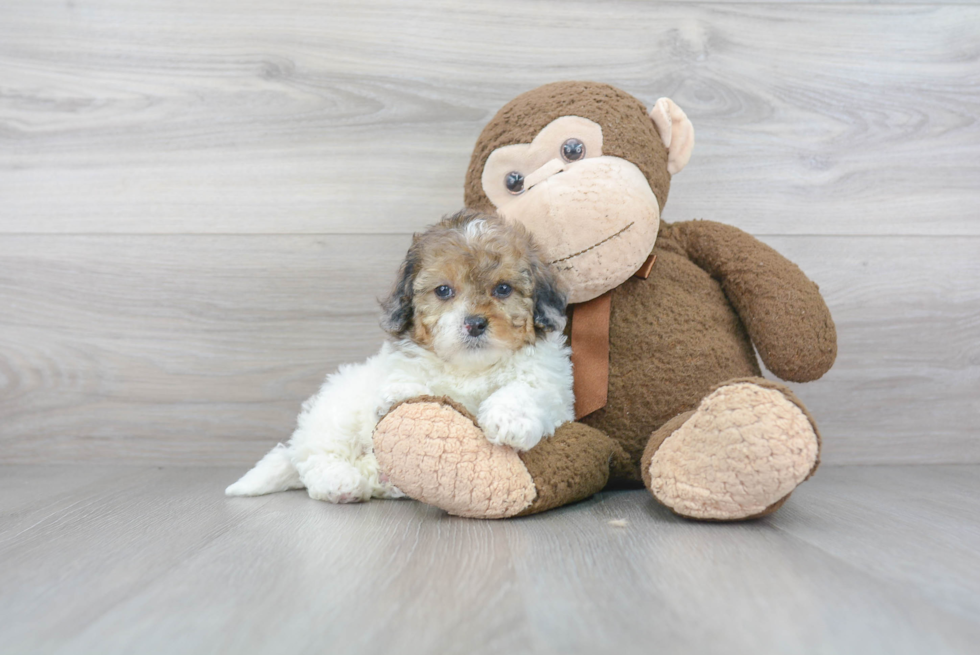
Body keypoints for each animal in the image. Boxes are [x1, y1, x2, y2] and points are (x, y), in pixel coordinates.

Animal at [227, 210, 576, 502]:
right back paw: (340, 483)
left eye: (503, 289)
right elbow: (406, 388)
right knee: (317, 457)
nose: (475, 323)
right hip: (333, 416)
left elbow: (526, 390)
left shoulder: (552, 386)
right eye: (444, 291)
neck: (470, 368)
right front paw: (402, 395)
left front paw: (509, 420)